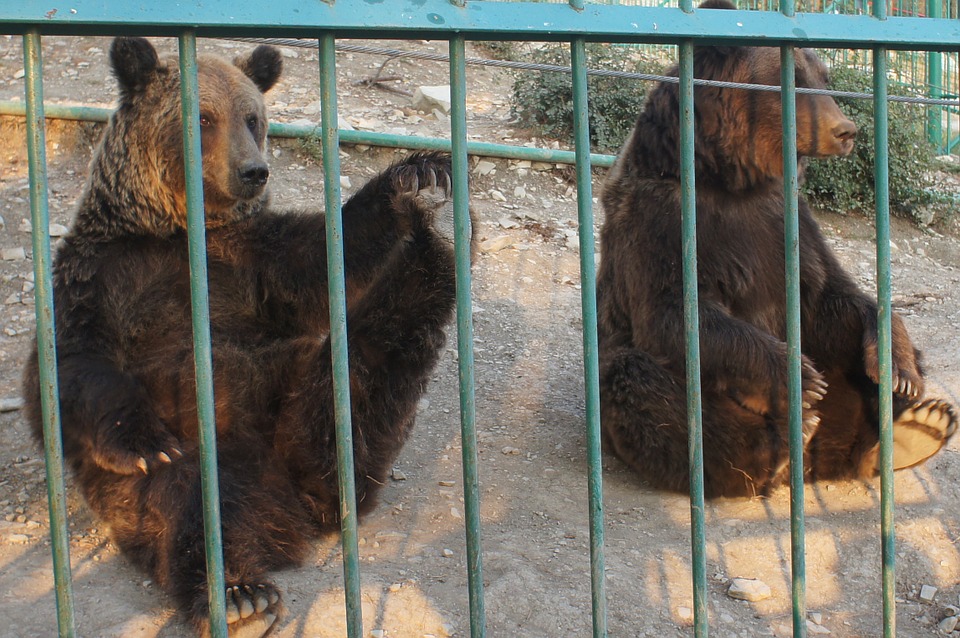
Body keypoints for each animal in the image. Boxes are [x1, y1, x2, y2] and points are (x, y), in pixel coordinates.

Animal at [23, 37, 468, 636]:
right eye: (203, 117)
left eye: (253, 118)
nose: (253, 170)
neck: (175, 231)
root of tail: (292, 503)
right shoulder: (99, 279)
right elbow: (74, 367)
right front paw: (141, 438)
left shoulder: (250, 261)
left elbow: (324, 257)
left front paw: (418, 174)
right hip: (198, 460)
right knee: (191, 506)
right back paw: (239, 594)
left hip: (290, 389)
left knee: (362, 374)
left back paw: (434, 246)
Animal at [596, 0, 956, 500]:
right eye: (794, 81)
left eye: (824, 77)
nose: (846, 130)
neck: (729, 179)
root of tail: (814, 463)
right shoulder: (661, 218)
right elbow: (674, 313)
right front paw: (800, 379)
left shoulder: (785, 220)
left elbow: (827, 296)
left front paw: (897, 367)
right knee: (644, 386)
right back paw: (782, 443)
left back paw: (914, 426)